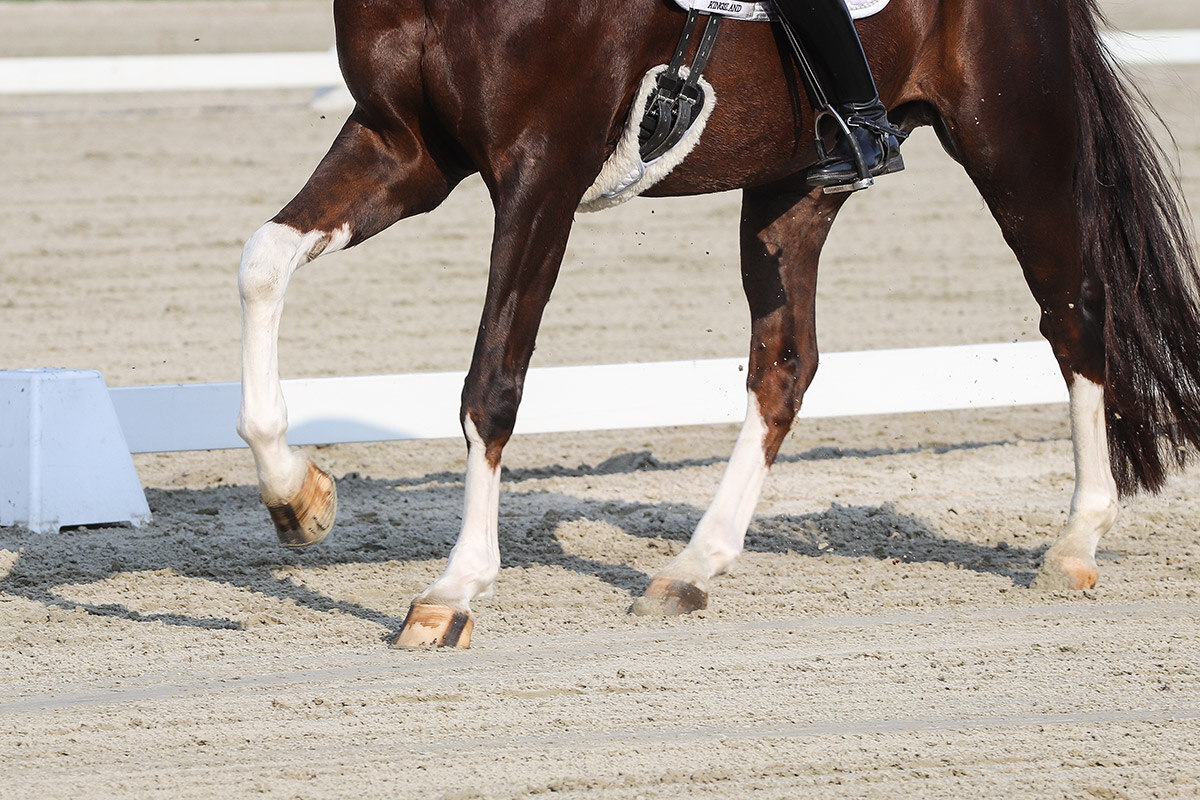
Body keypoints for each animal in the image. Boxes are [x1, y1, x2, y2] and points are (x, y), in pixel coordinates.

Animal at [235, 0, 1200, 648]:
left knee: (1076, 316)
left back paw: (1073, 545)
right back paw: (691, 570)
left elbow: (493, 382)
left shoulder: (542, 169)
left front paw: (454, 591)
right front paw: (298, 498)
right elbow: (262, 259)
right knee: (785, 365)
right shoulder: (404, 148)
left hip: (1013, 139)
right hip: (793, 181)